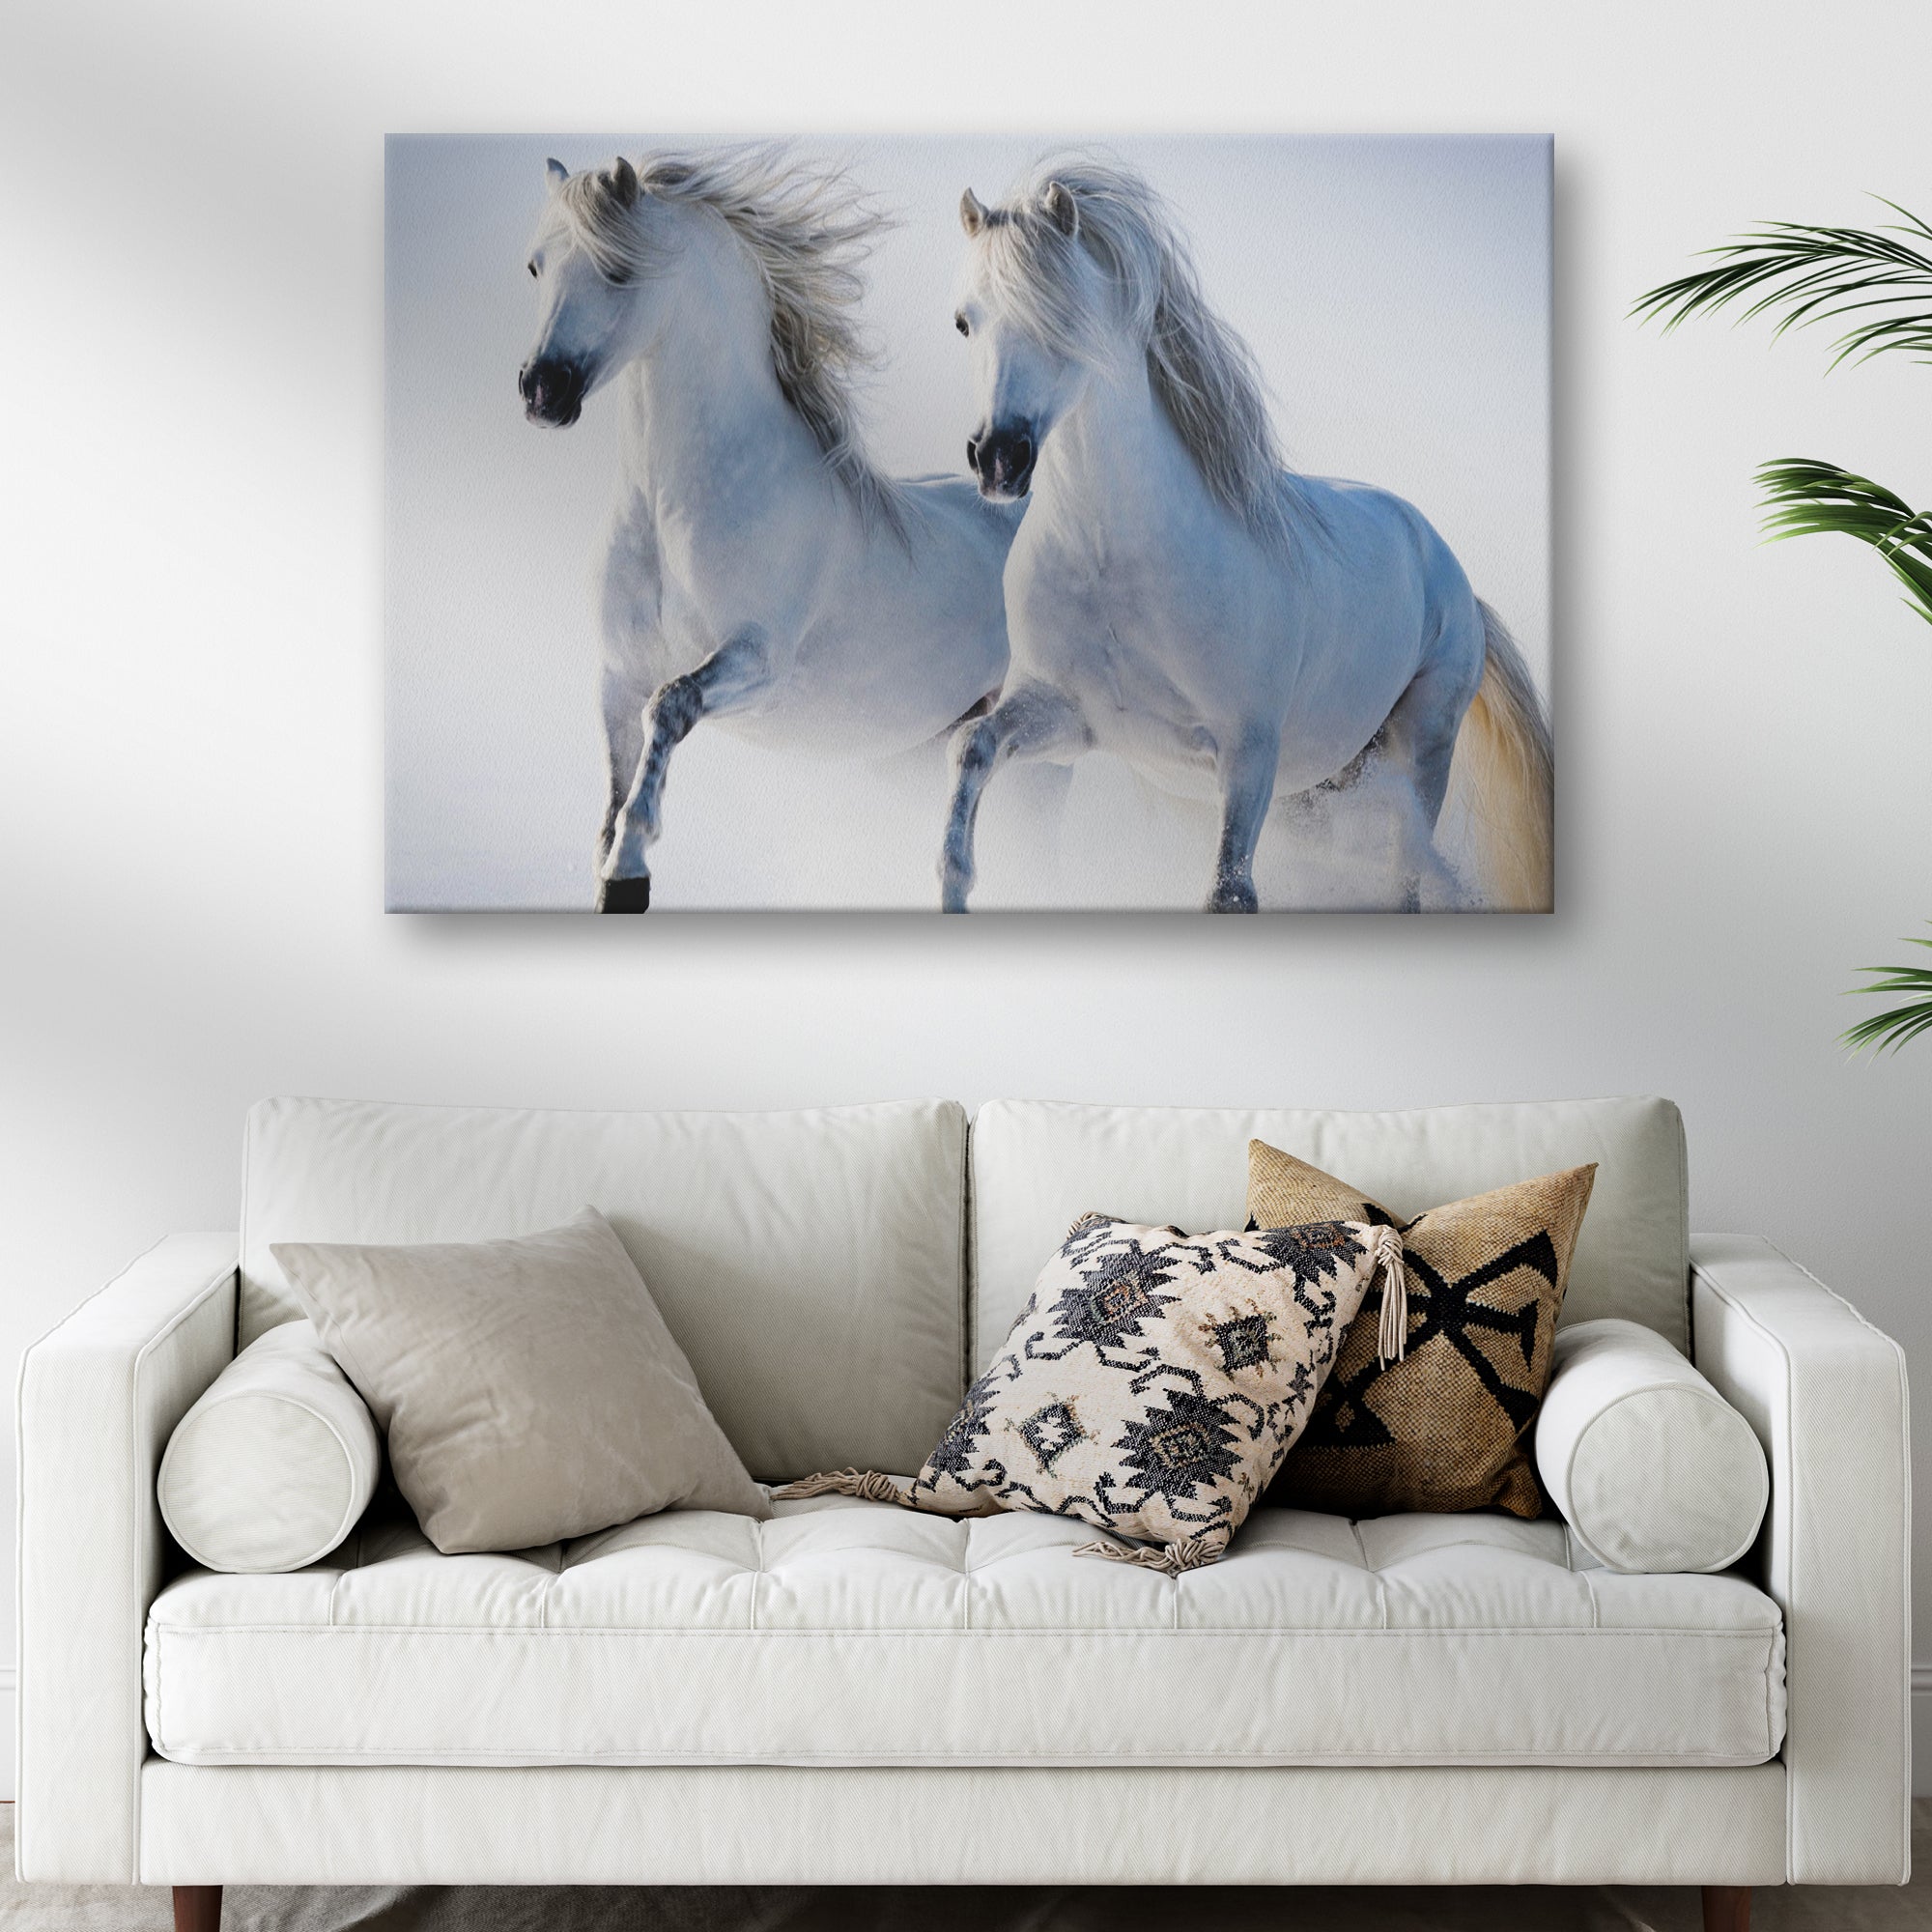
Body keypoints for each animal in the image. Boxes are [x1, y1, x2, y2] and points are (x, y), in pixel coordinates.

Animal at [518, 148, 1020, 910]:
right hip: (920, 746)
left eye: (618, 269)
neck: (675, 509)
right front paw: (614, 876)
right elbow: (612, 794)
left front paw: (633, 867)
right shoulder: (619, 675)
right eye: (536, 266)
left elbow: (670, 708)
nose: (542, 390)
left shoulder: (757, 660)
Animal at [938, 157, 1554, 913]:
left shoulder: (1249, 754)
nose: (999, 457)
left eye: (1063, 316)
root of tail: (1456, 581)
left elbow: (1230, 892)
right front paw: (955, 883)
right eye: (965, 322)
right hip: (1320, 784)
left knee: (1405, 874)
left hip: (1422, 752)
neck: (1117, 563)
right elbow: (971, 748)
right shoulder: (1066, 719)